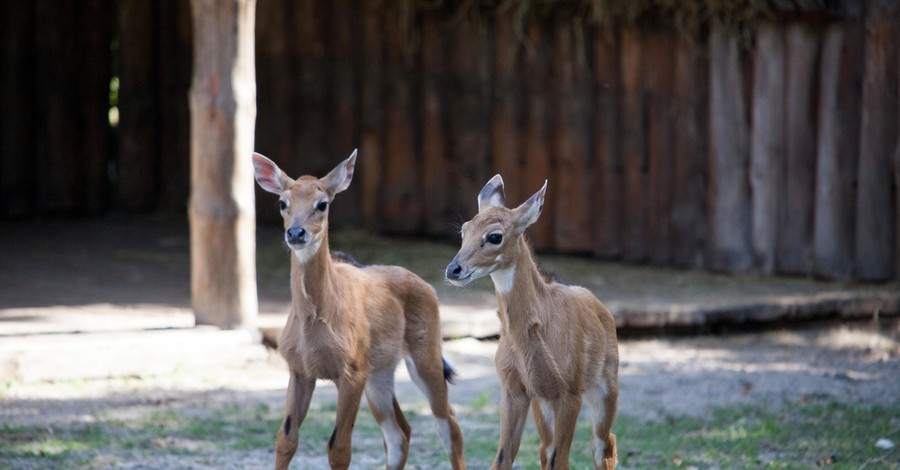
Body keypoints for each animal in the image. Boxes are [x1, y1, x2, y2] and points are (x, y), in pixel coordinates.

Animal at [253, 151, 464, 470]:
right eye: (282, 202)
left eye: (322, 203)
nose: (296, 233)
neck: (314, 318)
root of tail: (428, 287)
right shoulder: (300, 371)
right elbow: (286, 439)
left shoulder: (350, 374)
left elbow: (339, 447)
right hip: (380, 373)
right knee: (400, 432)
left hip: (424, 358)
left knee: (448, 424)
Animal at [444, 176, 620, 470]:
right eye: (464, 230)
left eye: (495, 236)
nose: (453, 269)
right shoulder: (514, 389)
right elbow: (503, 458)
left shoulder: (570, 392)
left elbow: (561, 461)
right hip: (543, 404)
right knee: (546, 448)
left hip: (605, 387)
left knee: (603, 445)